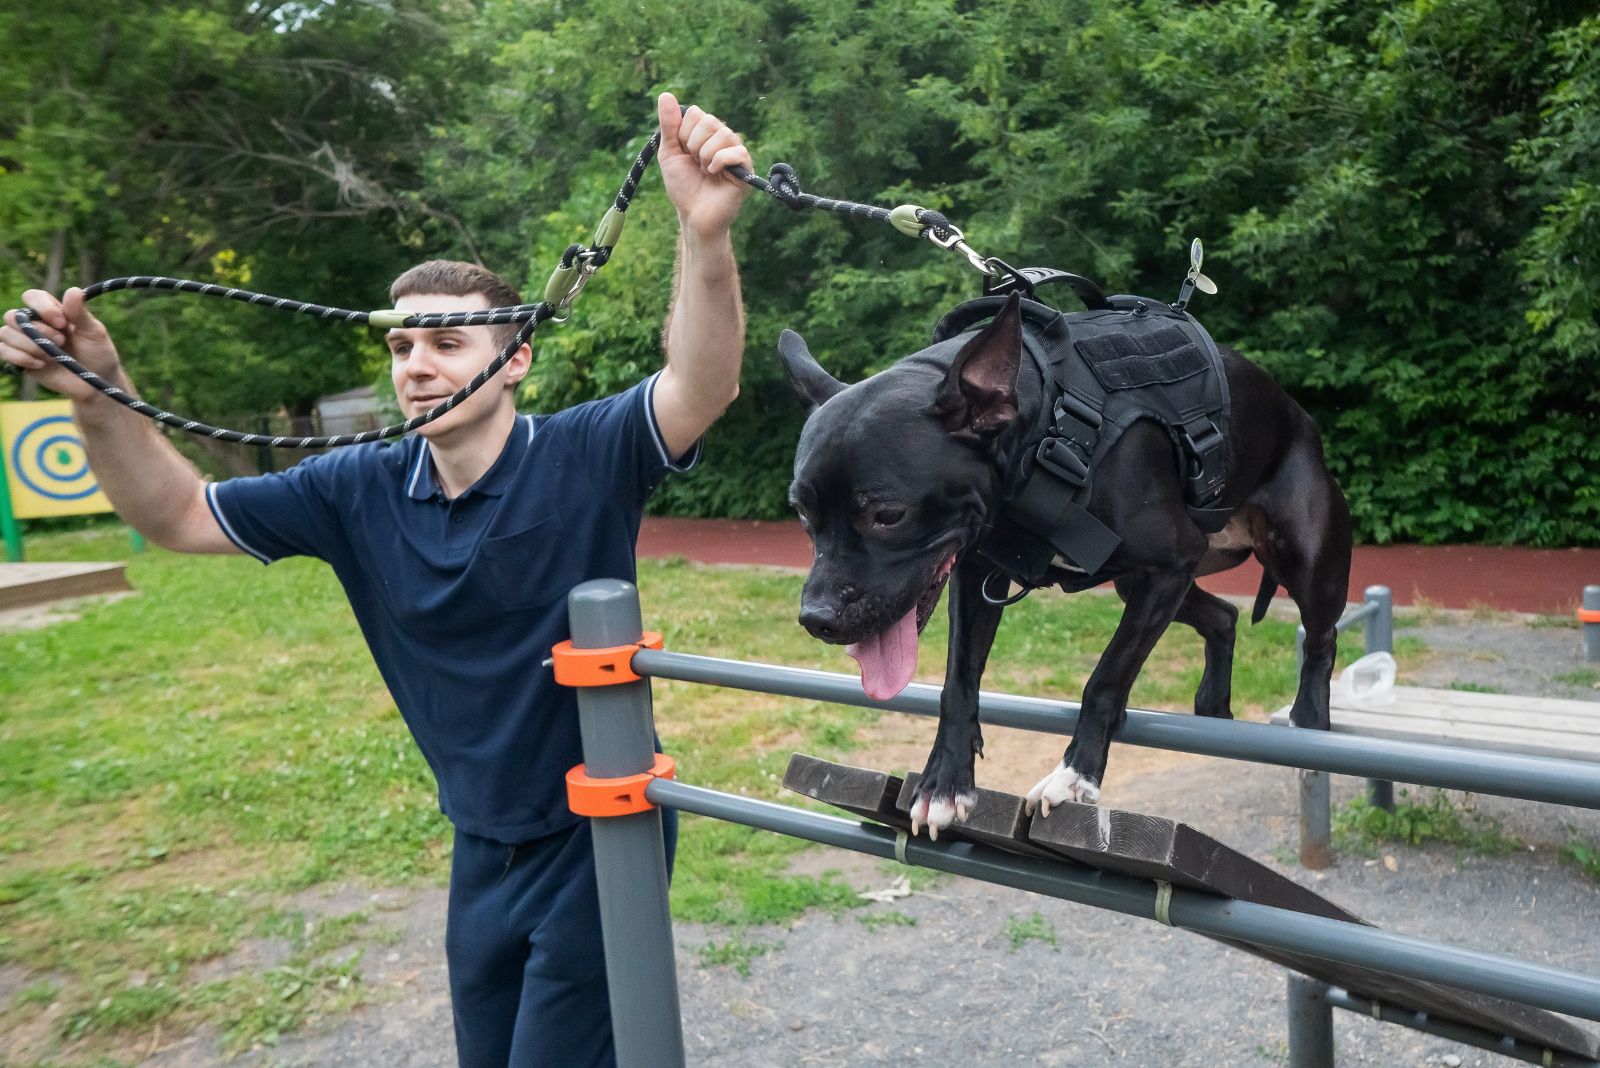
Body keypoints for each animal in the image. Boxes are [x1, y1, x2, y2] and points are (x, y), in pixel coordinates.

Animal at [780, 289, 1344, 831]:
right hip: (1141, 583)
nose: (816, 620)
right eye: (802, 513)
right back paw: (1212, 704)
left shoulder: (1171, 563)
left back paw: (1310, 719)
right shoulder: (975, 573)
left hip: (1302, 561)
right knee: (1224, 616)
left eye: (888, 515)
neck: (1044, 428)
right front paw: (944, 781)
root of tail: (1299, 416)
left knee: (1321, 641)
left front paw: (1076, 776)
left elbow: (1106, 677)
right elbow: (958, 681)